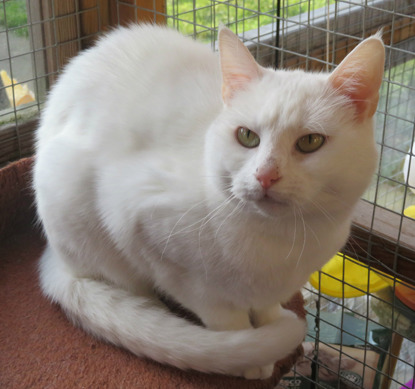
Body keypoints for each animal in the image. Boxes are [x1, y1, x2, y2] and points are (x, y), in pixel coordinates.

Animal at [33, 23, 386, 376]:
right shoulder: (148, 237)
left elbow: (267, 309)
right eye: (247, 136)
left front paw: (268, 340)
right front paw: (250, 359)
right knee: (126, 284)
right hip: (79, 208)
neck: (278, 241)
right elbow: (226, 320)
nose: (265, 175)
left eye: (311, 141)